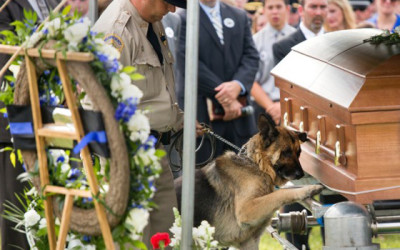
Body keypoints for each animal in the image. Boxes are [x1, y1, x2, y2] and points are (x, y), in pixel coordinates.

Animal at [174, 114, 322, 248]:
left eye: (299, 153)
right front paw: (308, 189)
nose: (301, 174)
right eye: (286, 152)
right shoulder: (247, 209)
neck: (256, 165)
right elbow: (280, 193)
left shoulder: (249, 241)